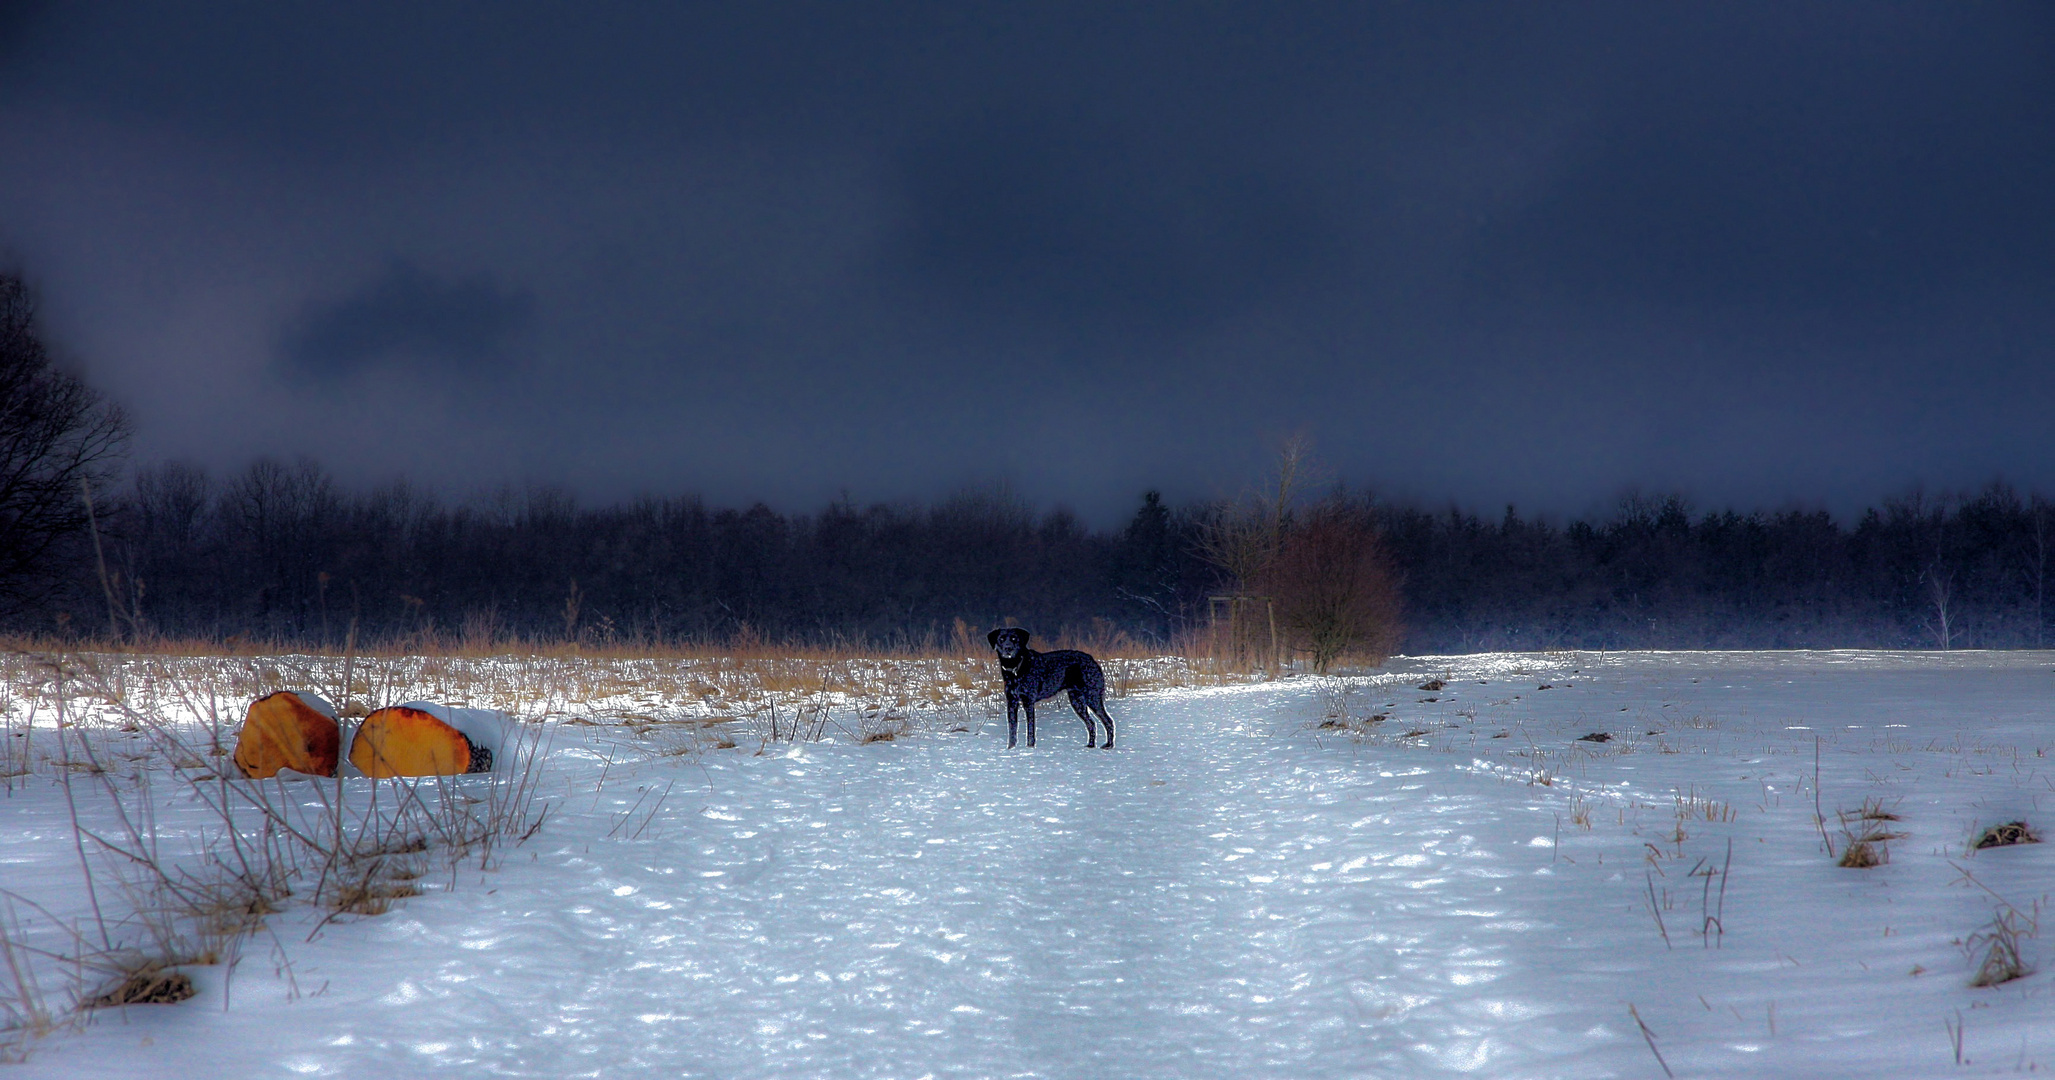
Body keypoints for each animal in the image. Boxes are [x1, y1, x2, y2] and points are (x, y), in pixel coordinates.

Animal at [986, 628, 1117, 755]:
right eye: (1001, 639)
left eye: (1015, 639)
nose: (1008, 648)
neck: (1015, 669)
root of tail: (1092, 659)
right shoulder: (1012, 703)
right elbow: (1012, 731)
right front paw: (1011, 749)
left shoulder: (1028, 703)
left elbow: (1030, 731)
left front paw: (1029, 749)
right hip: (1077, 702)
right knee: (1091, 723)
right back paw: (1090, 745)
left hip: (1092, 698)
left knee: (1108, 721)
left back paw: (1109, 745)